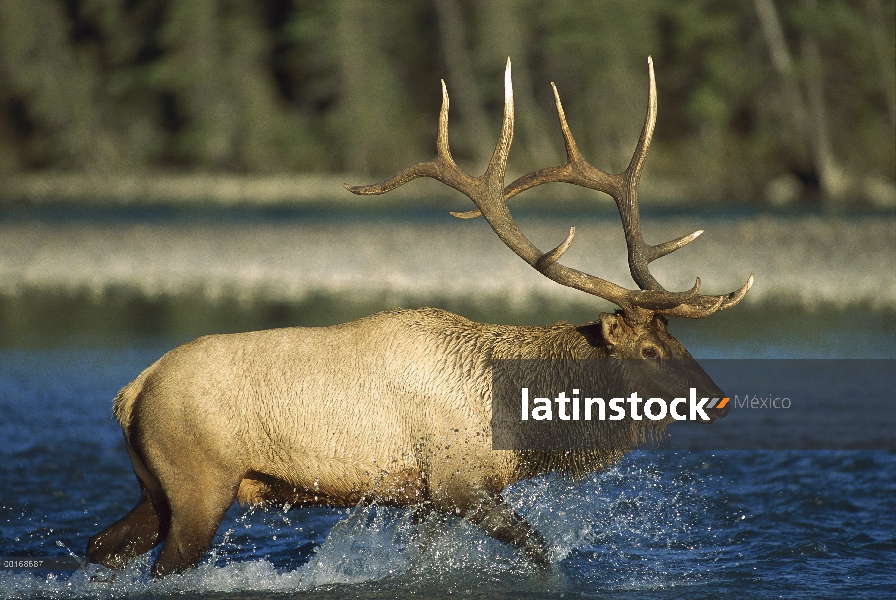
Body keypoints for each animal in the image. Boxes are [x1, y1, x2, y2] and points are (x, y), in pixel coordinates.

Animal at [89, 57, 748, 576]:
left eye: (676, 339)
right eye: (649, 351)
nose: (718, 397)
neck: (519, 421)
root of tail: (130, 392)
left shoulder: (425, 501)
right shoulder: (460, 482)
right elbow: (539, 551)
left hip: (156, 489)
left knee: (102, 545)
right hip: (199, 486)